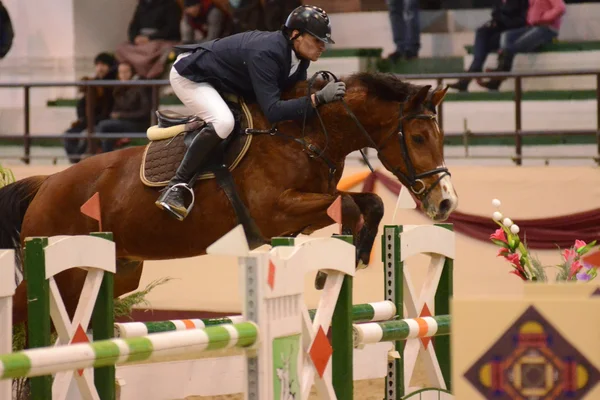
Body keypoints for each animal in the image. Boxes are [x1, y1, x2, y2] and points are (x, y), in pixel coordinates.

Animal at [0, 71, 458, 328]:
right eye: (419, 137)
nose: (446, 203)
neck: (304, 134)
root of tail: (46, 184)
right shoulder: (276, 211)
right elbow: (351, 203)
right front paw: (343, 261)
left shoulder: (303, 213)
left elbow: (366, 204)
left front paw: (349, 259)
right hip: (62, 266)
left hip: (110, 273)